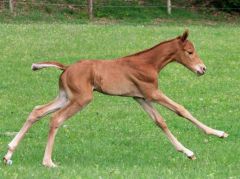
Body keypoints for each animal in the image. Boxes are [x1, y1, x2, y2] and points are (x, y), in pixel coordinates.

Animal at [4, 29, 228, 168]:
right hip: (81, 99)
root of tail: (66, 68)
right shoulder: (152, 93)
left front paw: (188, 152)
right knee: (56, 119)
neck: (148, 63)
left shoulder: (140, 97)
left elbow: (160, 122)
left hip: (65, 96)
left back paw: (8, 154)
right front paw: (218, 133)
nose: (202, 69)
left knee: (37, 111)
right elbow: (181, 110)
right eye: (190, 52)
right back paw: (48, 162)